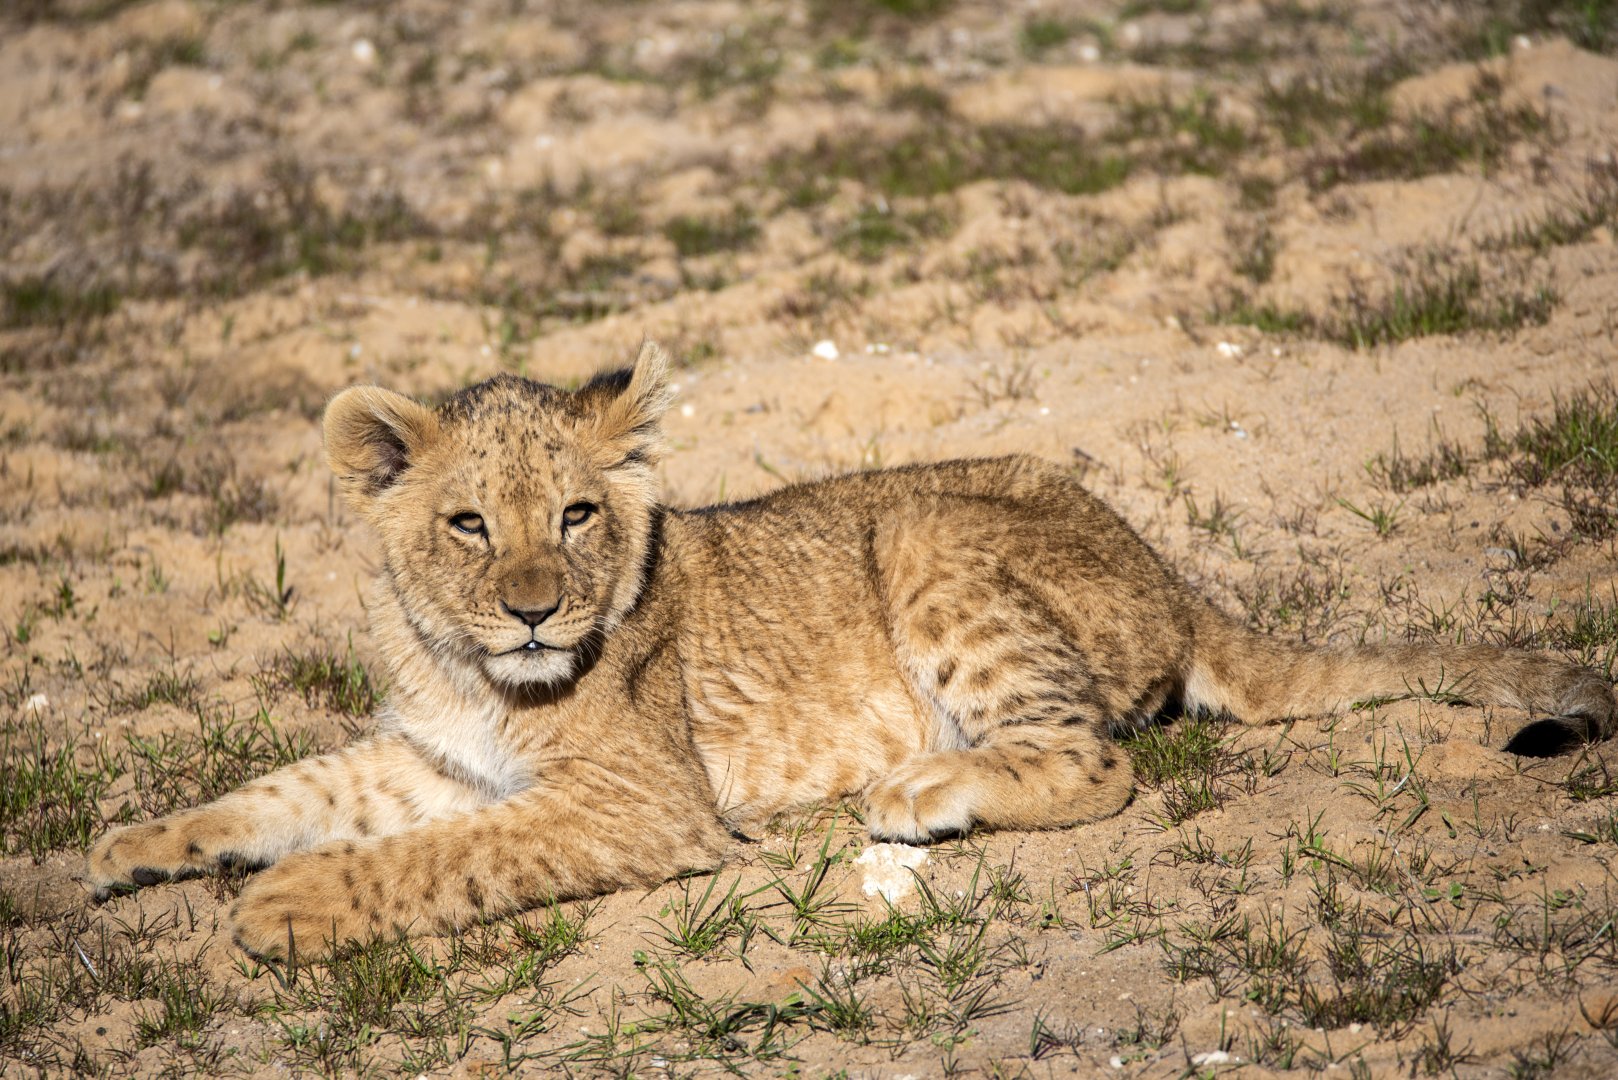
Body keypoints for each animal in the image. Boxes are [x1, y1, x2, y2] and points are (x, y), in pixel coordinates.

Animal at [87, 341, 1615, 958]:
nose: (533, 611)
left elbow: (437, 857)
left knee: (1095, 762)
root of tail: (1176, 583)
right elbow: (299, 788)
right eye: (469, 524)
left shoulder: (641, 806)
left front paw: (284, 906)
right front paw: (135, 848)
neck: (473, 670)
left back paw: (919, 791)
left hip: (927, 533)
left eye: (575, 515)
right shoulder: (432, 761)